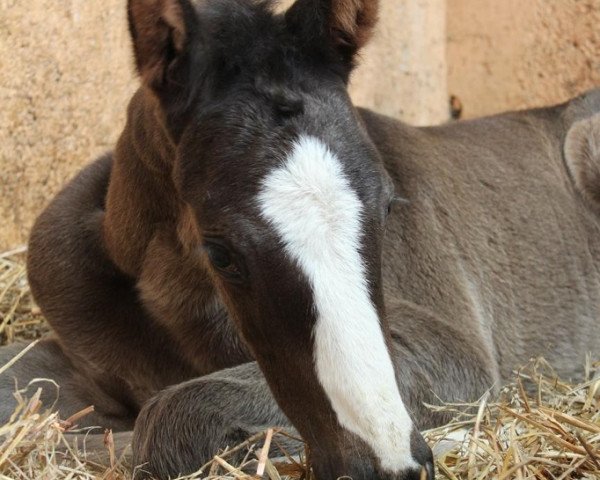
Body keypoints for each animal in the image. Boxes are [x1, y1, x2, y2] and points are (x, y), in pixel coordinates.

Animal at [3, 0, 600, 478]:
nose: (389, 464)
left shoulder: (454, 350)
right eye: (219, 251)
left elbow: (166, 418)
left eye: (388, 206)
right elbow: (20, 387)